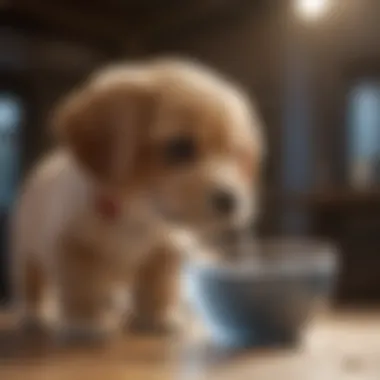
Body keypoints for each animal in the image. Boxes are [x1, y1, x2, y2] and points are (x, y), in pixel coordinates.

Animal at [9, 58, 264, 342]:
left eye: (235, 153)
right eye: (180, 147)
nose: (231, 200)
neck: (137, 214)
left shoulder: (165, 251)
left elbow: (158, 287)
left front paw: (157, 318)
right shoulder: (73, 247)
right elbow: (82, 288)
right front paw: (84, 324)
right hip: (26, 253)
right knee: (32, 285)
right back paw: (34, 315)